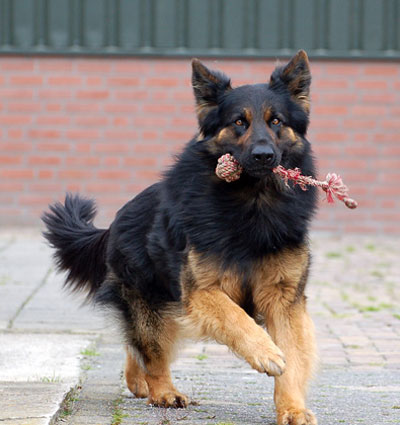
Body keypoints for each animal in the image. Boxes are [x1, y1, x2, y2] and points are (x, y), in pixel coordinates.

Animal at [42, 50, 318, 425]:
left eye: (276, 121)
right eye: (239, 122)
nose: (264, 156)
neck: (252, 203)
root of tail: (115, 221)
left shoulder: (284, 299)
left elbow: (292, 356)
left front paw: (292, 408)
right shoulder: (201, 292)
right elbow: (238, 319)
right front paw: (267, 353)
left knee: (136, 348)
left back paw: (139, 382)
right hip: (153, 305)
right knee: (152, 350)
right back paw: (163, 392)